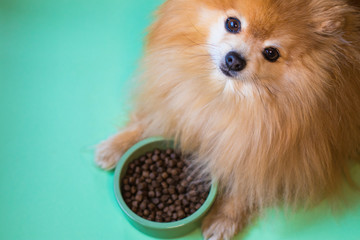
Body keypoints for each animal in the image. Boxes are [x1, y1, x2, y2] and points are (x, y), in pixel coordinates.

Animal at [94, 0, 358, 238]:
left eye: (271, 53)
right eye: (233, 24)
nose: (235, 59)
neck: (229, 96)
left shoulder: (278, 151)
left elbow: (248, 184)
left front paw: (224, 219)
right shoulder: (182, 102)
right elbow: (155, 119)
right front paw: (116, 145)